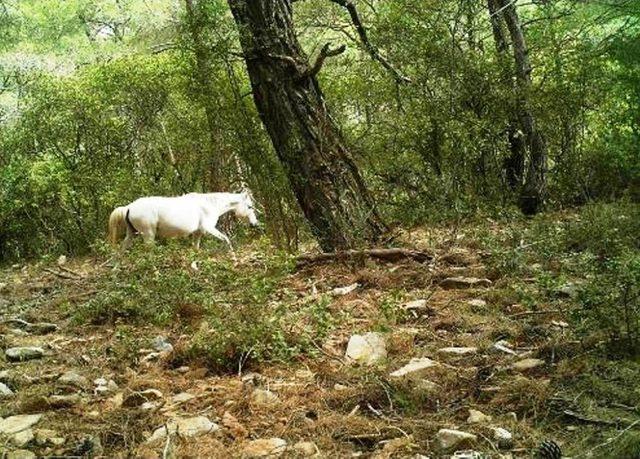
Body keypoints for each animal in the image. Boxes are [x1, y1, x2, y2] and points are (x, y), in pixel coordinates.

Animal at [109, 190, 258, 255]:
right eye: (250, 207)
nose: (254, 224)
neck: (210, 204)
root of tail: (129, 207)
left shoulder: (198, 233)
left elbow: (196, 249)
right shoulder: (209, 228)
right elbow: (227, 240)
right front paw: (233, 257)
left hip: (131, 234)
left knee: (121, 250)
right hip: (148, 235)